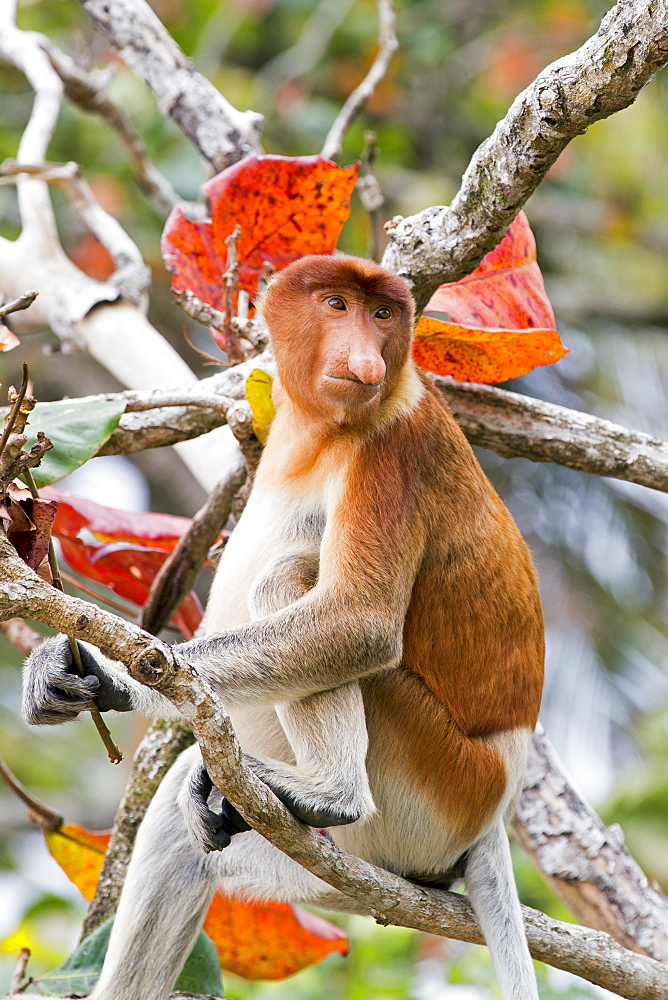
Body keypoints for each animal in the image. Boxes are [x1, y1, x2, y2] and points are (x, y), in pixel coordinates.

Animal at [22, 254, 544, 996]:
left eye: (383, 315)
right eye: (337, 305)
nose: (365, 361)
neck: (323, 432)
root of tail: (495, 801)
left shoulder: (395, 452)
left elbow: (358, 624)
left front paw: (111, 674)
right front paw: (78, 673)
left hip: (433, 783)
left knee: (290, 579)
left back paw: (325, 796)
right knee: (181, 835)